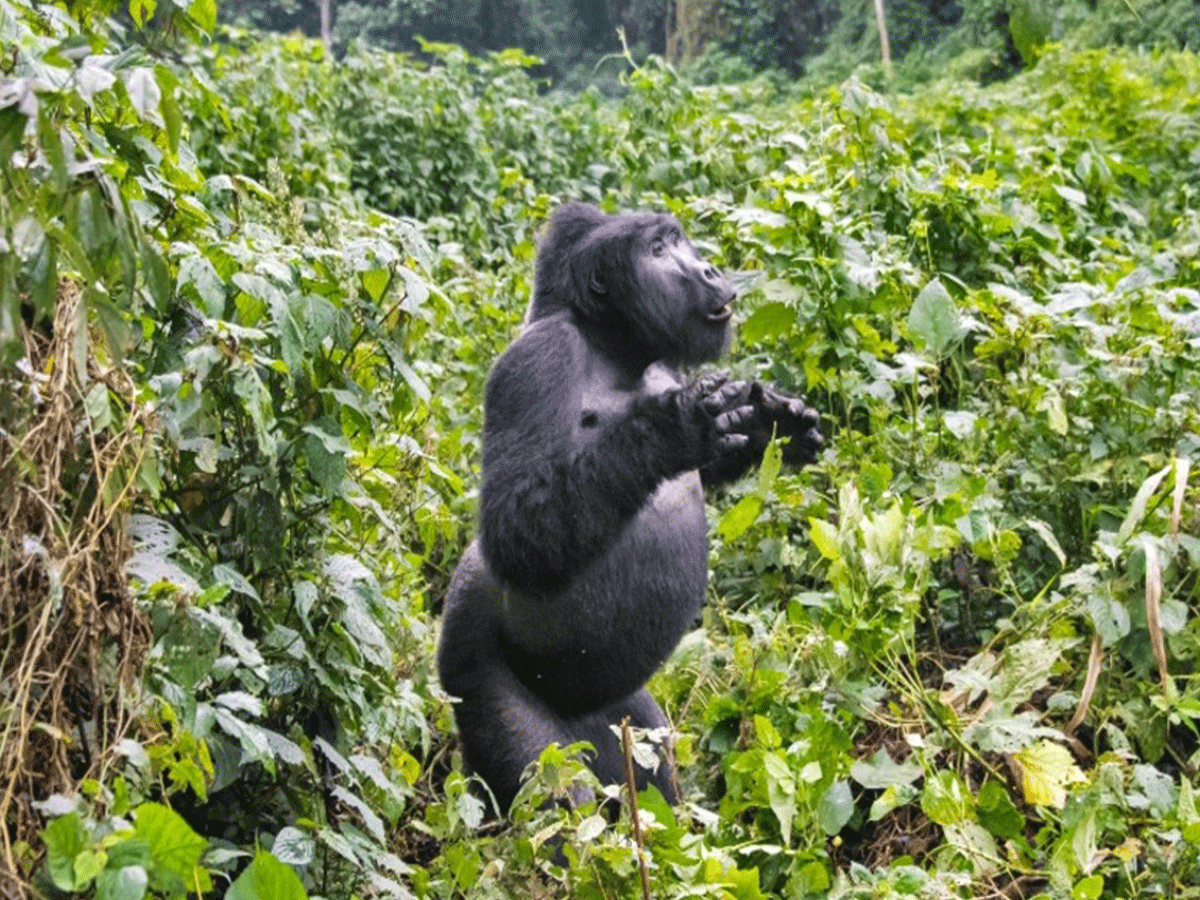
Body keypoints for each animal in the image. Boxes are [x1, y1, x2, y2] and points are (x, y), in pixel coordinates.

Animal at [436, 200, 820, 816]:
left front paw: (767, 421)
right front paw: (667, 431)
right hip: (472, 671)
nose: (709, 269)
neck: (615, 348)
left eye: (678, 241)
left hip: (620, 717)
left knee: (652, 771)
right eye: (659, 250)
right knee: (554, 807)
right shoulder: (536, 363)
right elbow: (513, 527)